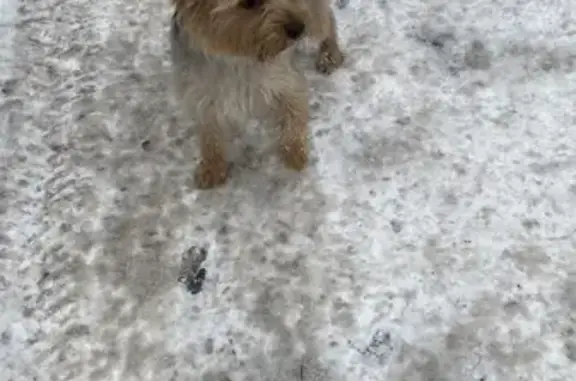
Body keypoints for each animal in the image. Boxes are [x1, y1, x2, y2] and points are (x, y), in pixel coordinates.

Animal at [169, 0, 344, 188]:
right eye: (250, 3)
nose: (298, 29)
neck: (240, 56)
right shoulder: (203, 95)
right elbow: (209, 134)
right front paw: (212, 167)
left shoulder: (286, 83)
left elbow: (293, 118)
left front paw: (295, 153)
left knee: (325, 20)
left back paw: (329, 55)